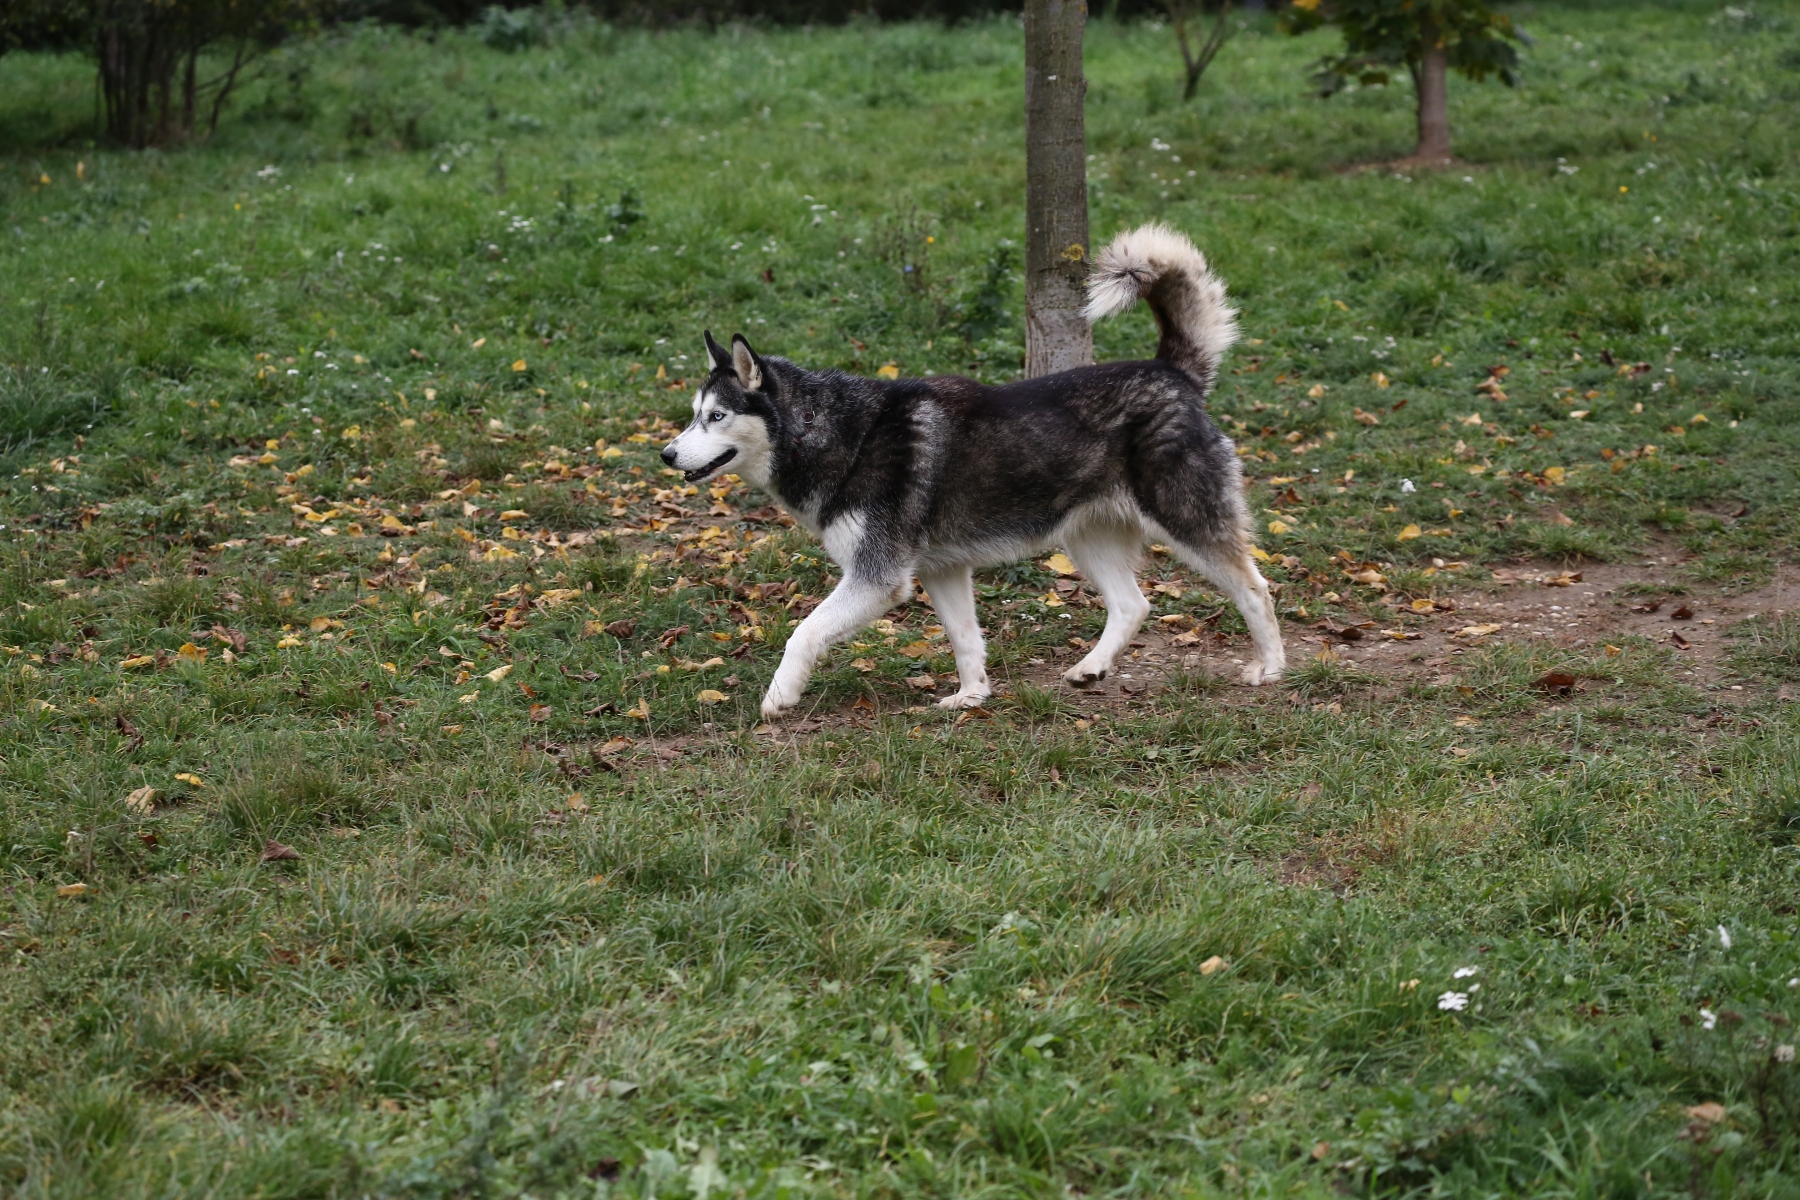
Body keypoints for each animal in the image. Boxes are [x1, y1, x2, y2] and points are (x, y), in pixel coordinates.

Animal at [661, 223, 1286, 721]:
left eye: (717, 416)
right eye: (693, 415)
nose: (667, 454)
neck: (832, 431)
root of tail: (1171, 372)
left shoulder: (877, 577)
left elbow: (803, 632)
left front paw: (779, 697)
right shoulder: (943, 570)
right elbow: (965, 640)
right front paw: (971, 697)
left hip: (1185, 520)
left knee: (1255, 588)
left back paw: (1272, 668)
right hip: (1086, 538)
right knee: (1134, 605)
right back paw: (1091, 667)